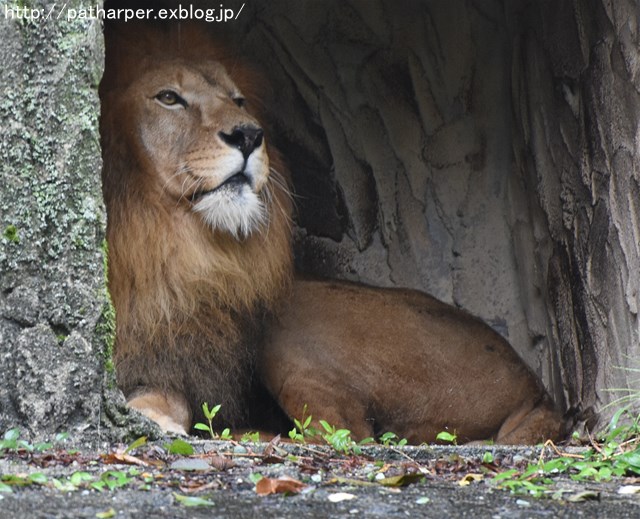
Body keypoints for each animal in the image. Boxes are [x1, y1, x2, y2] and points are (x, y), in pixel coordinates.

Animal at [101, 22, 564, 444]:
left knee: (344, 432)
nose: (249, 134)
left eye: (238, 100)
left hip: (297, 327)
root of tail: (538, 390)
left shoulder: (180, 366)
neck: (163, 235)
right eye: (168, 97)